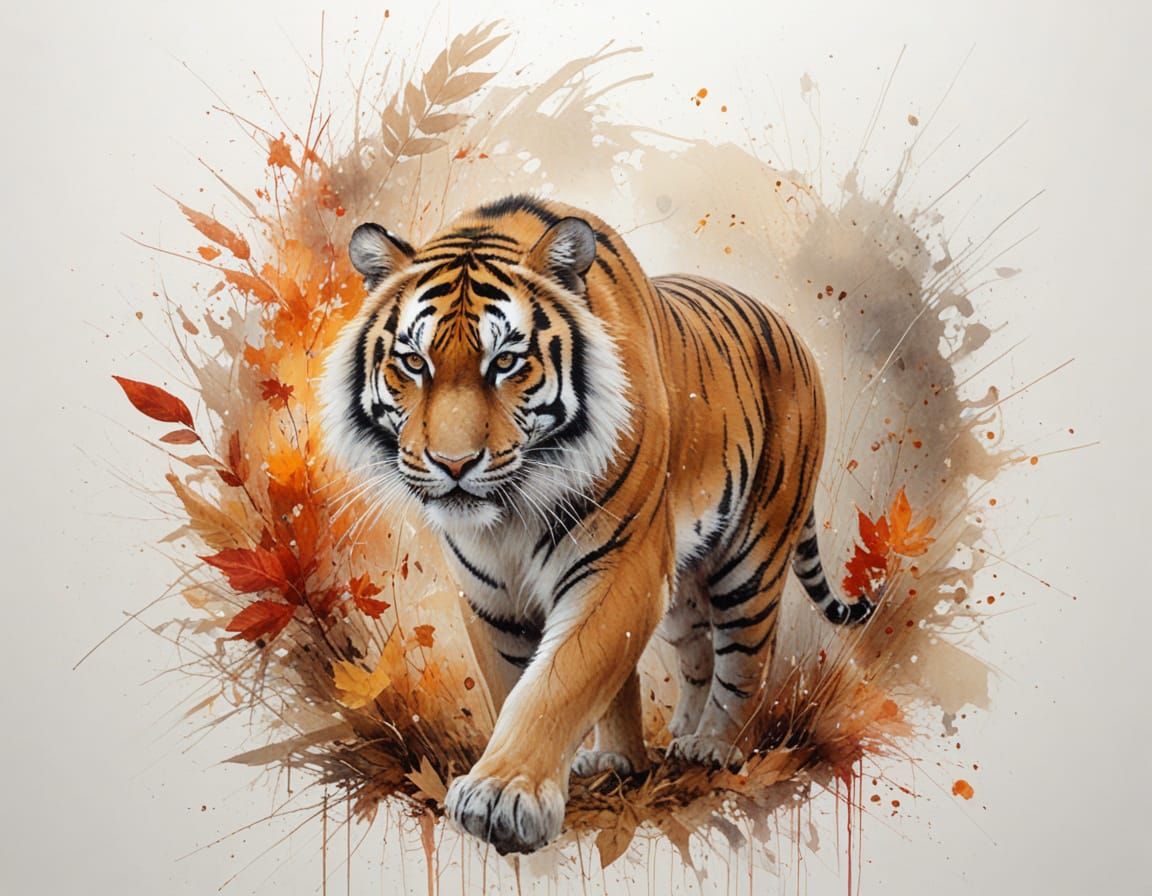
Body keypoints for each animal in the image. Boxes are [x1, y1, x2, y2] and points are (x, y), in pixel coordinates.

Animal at [321, 194, 876, 855]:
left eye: (505, 362)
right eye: (412, 362)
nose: (453, 465)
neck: (508, 516)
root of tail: (790, 329)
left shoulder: (618, 568)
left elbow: (561, 679)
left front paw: (504, 794)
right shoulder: (491, 596)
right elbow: (525, 683)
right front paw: (613, 762)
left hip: (753, 558)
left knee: (745, 658)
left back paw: (715, 747)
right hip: (683, 587)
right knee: (697, 655)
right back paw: (678, 734)